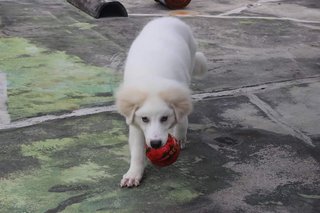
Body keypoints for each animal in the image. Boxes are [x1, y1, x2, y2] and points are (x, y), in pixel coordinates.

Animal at [116, 17, 206, 187]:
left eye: (164, 118)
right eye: (145, 119)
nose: (156, 144)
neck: (152, 77)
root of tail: (169, 18)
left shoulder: (180, 94)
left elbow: (182, 121)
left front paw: (179, 137)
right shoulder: (135, 123)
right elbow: (137, 150)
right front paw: (133, 174)